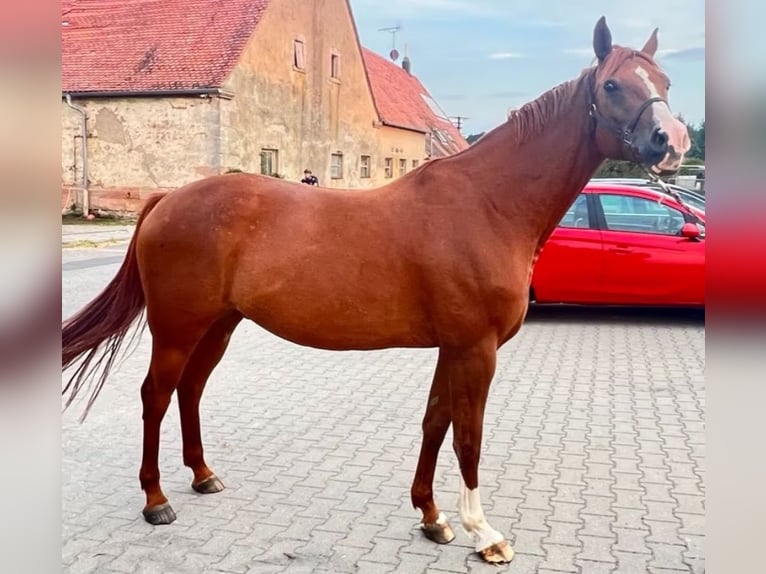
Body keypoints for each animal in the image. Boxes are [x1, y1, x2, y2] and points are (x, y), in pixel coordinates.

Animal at [63, 19, 692, 568]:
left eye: (663, 82)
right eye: (612, 84)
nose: (673, 141)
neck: (488, 204)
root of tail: (166, 200)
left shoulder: (453, 347)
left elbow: (436, 423)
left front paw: (432, 518)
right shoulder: (477, 349)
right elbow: (469, 437)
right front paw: (484, 534)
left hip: (219, 325)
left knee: (189, 391)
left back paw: (202, 476)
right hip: (177, 327)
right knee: (155, 396)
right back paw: (156, 501)